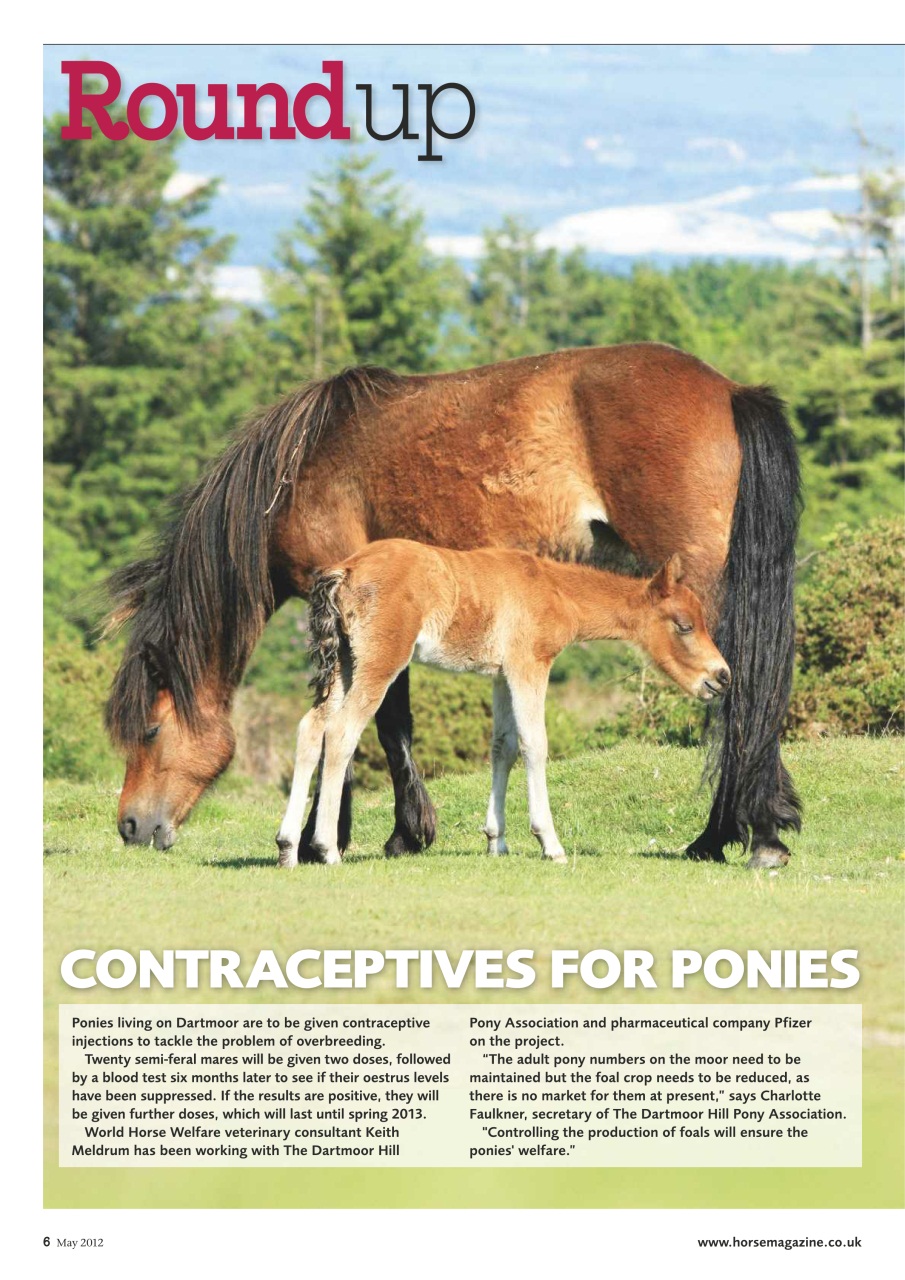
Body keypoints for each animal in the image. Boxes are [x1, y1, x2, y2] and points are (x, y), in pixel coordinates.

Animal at [275, 542, 730, 866]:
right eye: (684, 625)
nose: (721, 676)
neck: (554, 588)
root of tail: (345, 571)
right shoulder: (530, 665)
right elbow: (534, 744)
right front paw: (550, 843)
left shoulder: (500, 674)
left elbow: (502, 748)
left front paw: (497, 840)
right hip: (380, 661)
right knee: (341, 732)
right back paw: (326, 848)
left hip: (345, 663)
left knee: (311, 727)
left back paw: (287, 847)